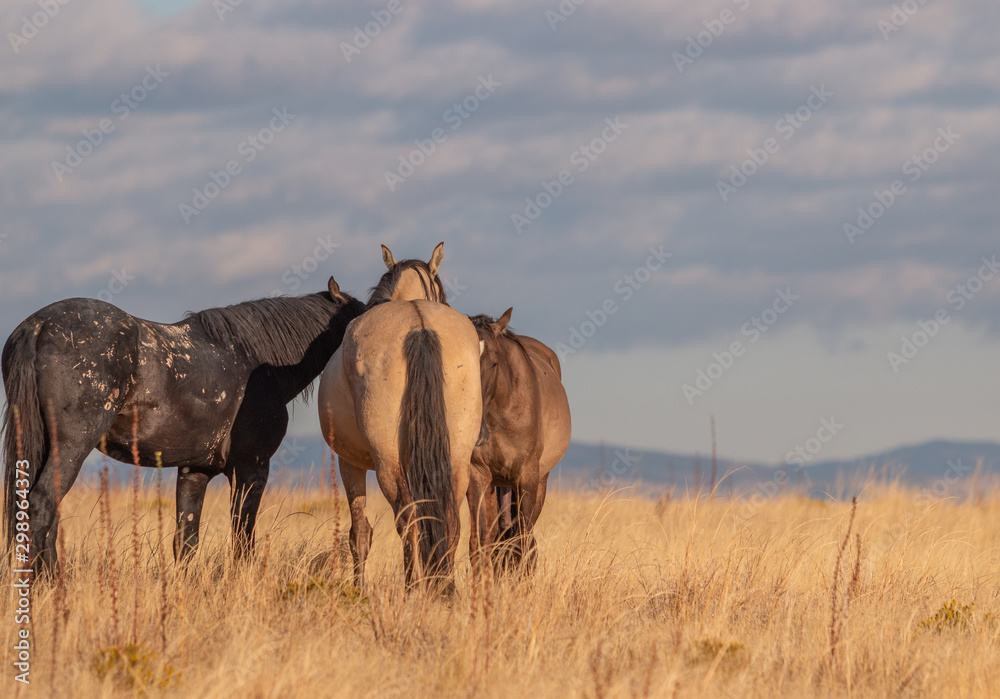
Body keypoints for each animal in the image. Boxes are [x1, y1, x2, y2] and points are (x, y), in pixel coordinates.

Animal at [2, 277, 365, 573]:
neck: (257, 365)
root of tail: (38, 326)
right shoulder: (251, 468)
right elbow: (242, 538)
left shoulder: (194, 471)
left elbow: (186, 541)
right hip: (72, 446)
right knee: (42, 507)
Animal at [318, 242, 484, 591]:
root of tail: (418, 324)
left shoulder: (349, 462)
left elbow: (360, 533)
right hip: (457, 458)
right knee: (448, 519)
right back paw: (442, 586)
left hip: (387, 462)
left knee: (408, 520)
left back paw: (413, 588)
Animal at [467, 308, 572, 574]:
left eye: (494, 362)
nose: (478, 434)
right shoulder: (478, 475)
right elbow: (480, 543)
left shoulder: (527, 477)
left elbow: (522, 539)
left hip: (539, 483)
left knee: (521, 536)